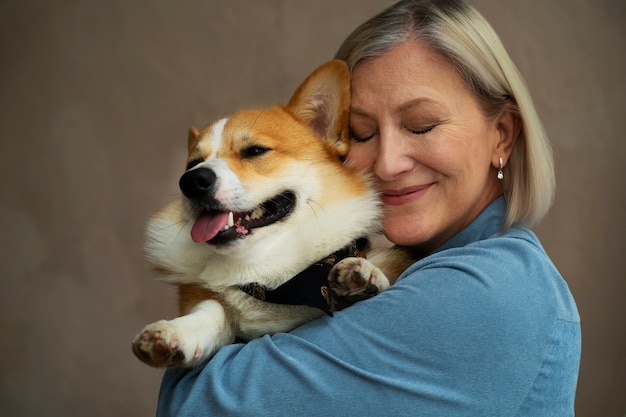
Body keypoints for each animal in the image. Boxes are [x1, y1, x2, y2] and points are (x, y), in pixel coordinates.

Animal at [131, 60, 410, 366]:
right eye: (193, 163)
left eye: (254, 150)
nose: (191, 181)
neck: (268, 270)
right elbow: (211, 309)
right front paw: (175, 333)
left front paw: (364, 276)